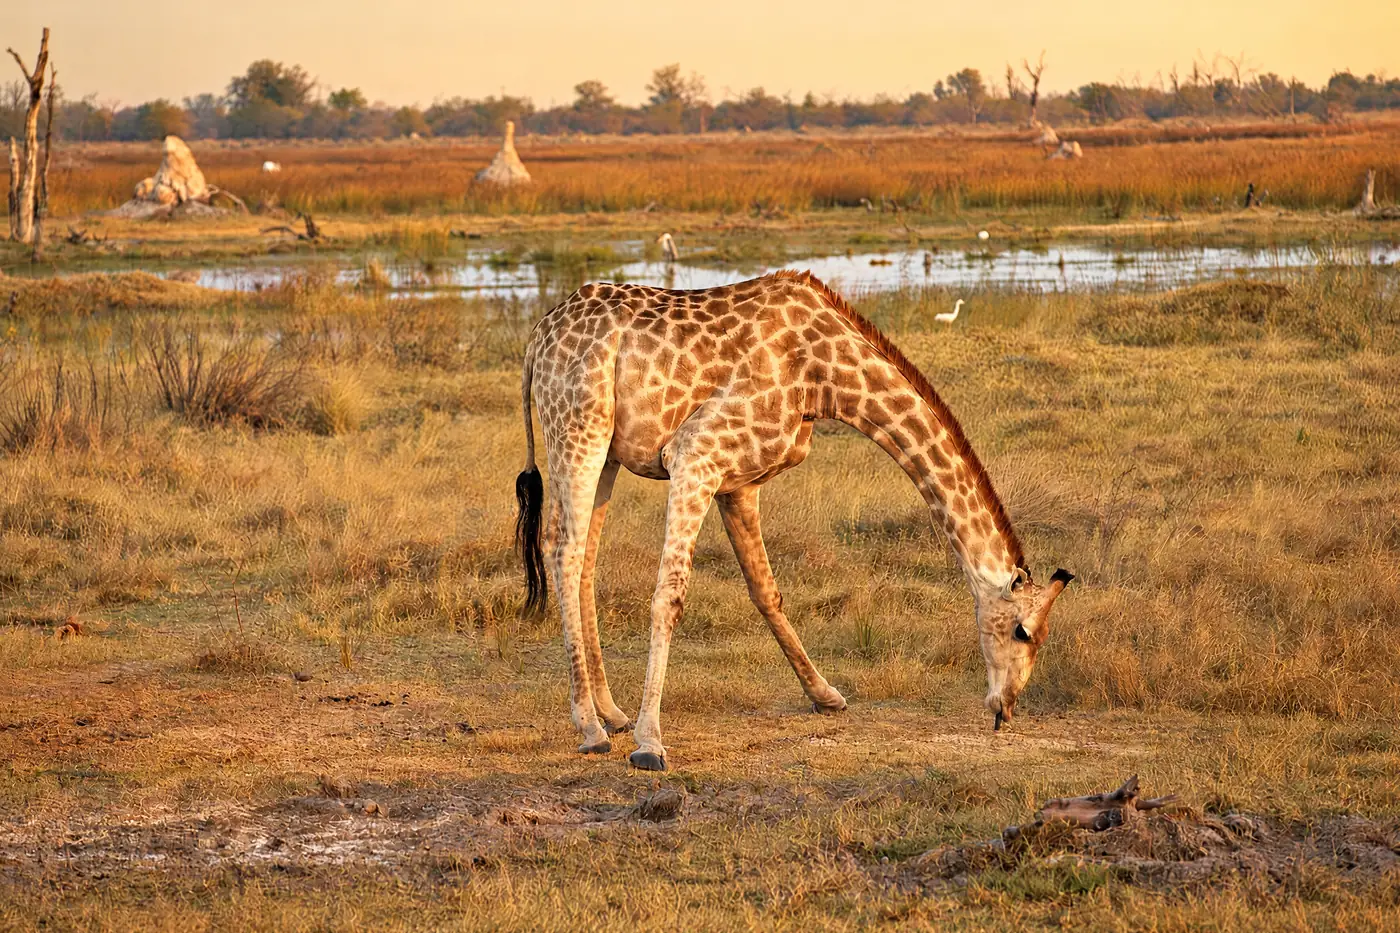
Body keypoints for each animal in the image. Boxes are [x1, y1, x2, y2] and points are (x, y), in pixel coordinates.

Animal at [515, 270, 1073, 771]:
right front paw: (651, 743)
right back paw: (590, 728)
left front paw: (826, 696)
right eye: (1023, 632)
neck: (827, 379)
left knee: (584, 559)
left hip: (606, 451)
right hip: (578, 430)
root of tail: (537, 338)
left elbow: (767, 591)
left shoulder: (739, 482)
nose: (1005, 709)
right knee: (563, 552)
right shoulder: (695, 456)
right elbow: (669, 597)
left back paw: (611, 713)